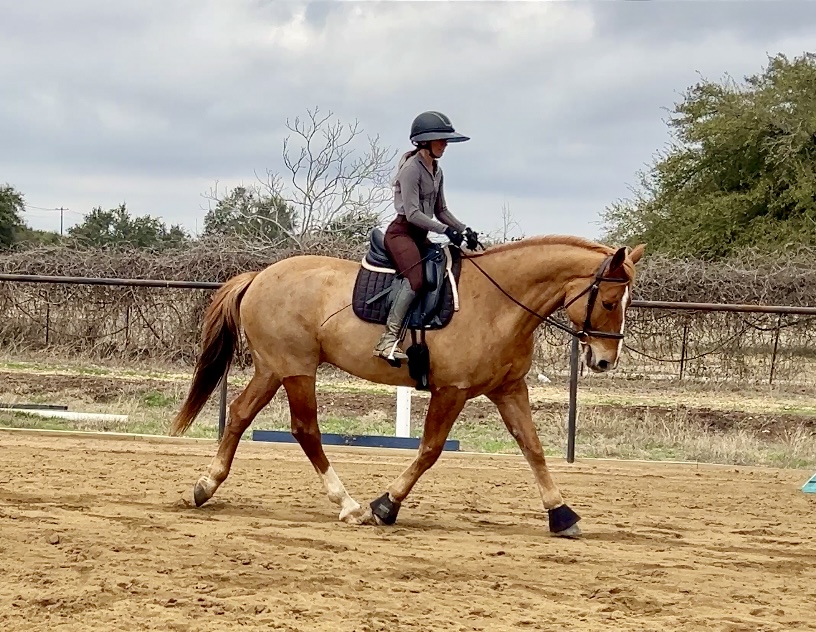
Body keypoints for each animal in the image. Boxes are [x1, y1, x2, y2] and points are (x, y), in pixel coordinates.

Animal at [169, 234, 645, 537]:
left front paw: (561, 514)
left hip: (273, 369)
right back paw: (349, 505)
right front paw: (386, 505)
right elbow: (430, 450)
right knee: (305, 430)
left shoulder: (509, 389)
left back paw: (206, 486)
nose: (604, 361)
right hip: (295, 370)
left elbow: (532, 447)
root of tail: (259, 275)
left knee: (240, 415)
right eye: (608, 301)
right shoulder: (452, 390)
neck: (498, 303)